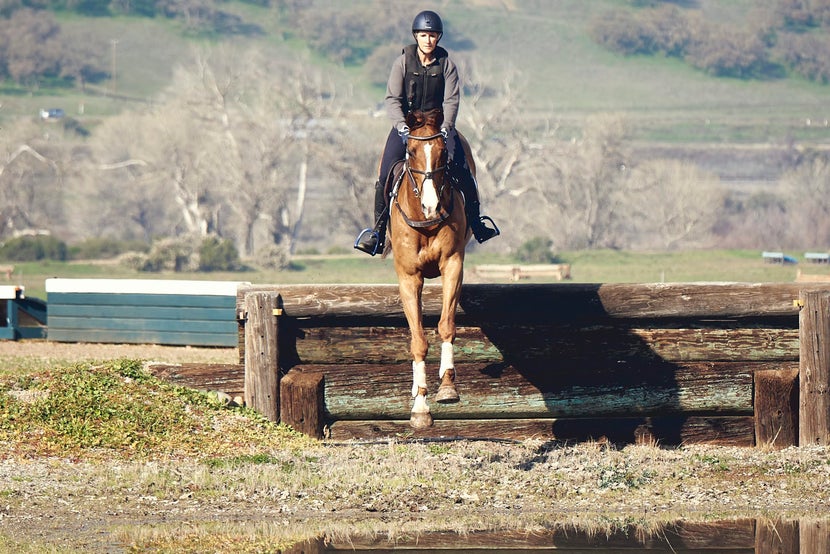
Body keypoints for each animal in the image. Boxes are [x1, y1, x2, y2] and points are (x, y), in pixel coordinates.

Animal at [386, 108, 472, 426]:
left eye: (443, 151)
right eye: (411, 151)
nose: (431, 206)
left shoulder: (453, 264)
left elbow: (446, 325)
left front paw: (447, 387)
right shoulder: (409, 278)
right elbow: (418, 341)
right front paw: (420, 406)